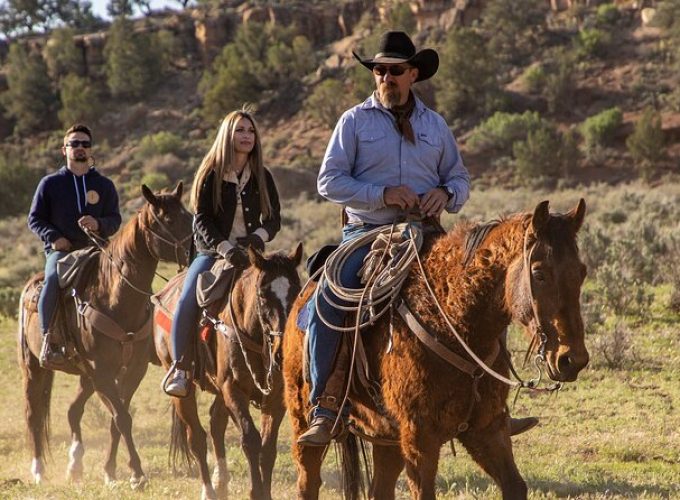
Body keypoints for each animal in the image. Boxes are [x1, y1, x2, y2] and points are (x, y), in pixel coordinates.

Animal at [17, 184, 191, 488]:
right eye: (169, 219)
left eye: (187, 214)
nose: (196, 248)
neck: (115, 297)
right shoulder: (102, 371)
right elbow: (121, 418)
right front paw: (137, 473)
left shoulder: (132, 370)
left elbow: (116, 420)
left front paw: (111, 471)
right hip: (34, 367)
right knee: (33, 414)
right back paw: (38, 470)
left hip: (86, 376)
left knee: (73, 411)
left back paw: (75, 465)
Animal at [155, 243, 304, 500]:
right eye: (263, 295)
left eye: (296, 291)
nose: (283, 352)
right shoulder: (233, 390)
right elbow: (250, 440)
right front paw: (256, 491)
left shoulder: (275, 398)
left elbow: (268, 448)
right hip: (183, 393)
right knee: (197, 438)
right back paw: (209, 491)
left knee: (216, 424)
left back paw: (221, 482)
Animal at [282, 199, 588, 500]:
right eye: (539, 273)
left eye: (582, 272)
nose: (572, 360)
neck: (453, 321)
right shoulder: (421, 437)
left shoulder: (487, 429)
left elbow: (515, 486)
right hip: (303, 420)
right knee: (308, 481)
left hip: (387, 438)